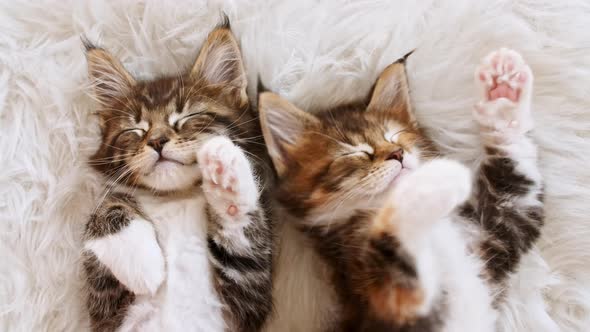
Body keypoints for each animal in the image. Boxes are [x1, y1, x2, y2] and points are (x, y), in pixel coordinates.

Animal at [81, 20, 276, 332]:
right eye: (136, 129)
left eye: (186, 117)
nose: (157, 141)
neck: (175, 196)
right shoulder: (104, 306)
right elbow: (105, 207)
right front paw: (141, 263)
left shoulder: (247, 297)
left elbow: (241, 225)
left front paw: (225, 172)